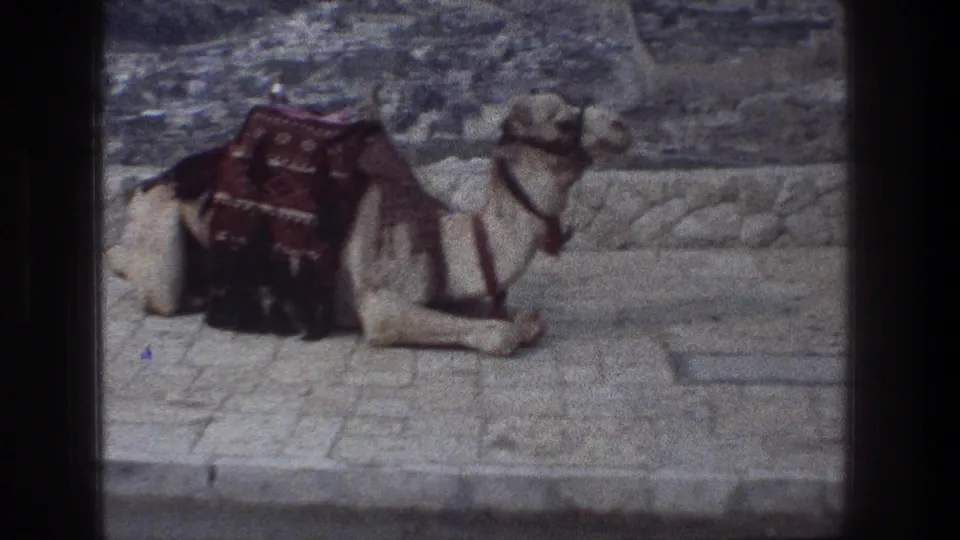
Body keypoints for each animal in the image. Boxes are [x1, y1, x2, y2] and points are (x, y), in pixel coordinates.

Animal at [108, 90, 631, 356]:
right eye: (564, 120)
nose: (620, 126)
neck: (445, 243)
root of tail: (158, 180)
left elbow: (511, 315)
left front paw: (525, 319)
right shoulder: (380, 304)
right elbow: (497, 334)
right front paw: (513, 330)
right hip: (157, 226)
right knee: (155, 287)